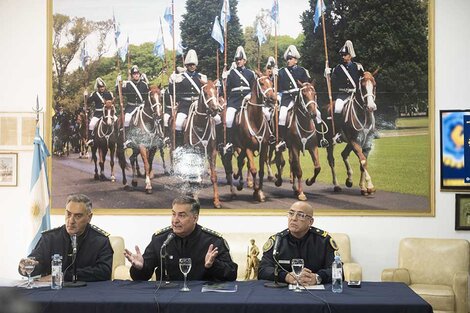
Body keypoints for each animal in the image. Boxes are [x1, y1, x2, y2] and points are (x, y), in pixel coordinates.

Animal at [225, 71, 280, 201]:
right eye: (262, 83)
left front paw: (260, 192)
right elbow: (253, 169)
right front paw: (256, 191)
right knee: (240, 162)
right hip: (237, 147)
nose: (273, 98)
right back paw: (237, 183)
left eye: (271, 83)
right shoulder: (248, 148)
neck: (255, 120)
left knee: (241, 161)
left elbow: (261, 171)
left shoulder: (264, 148)